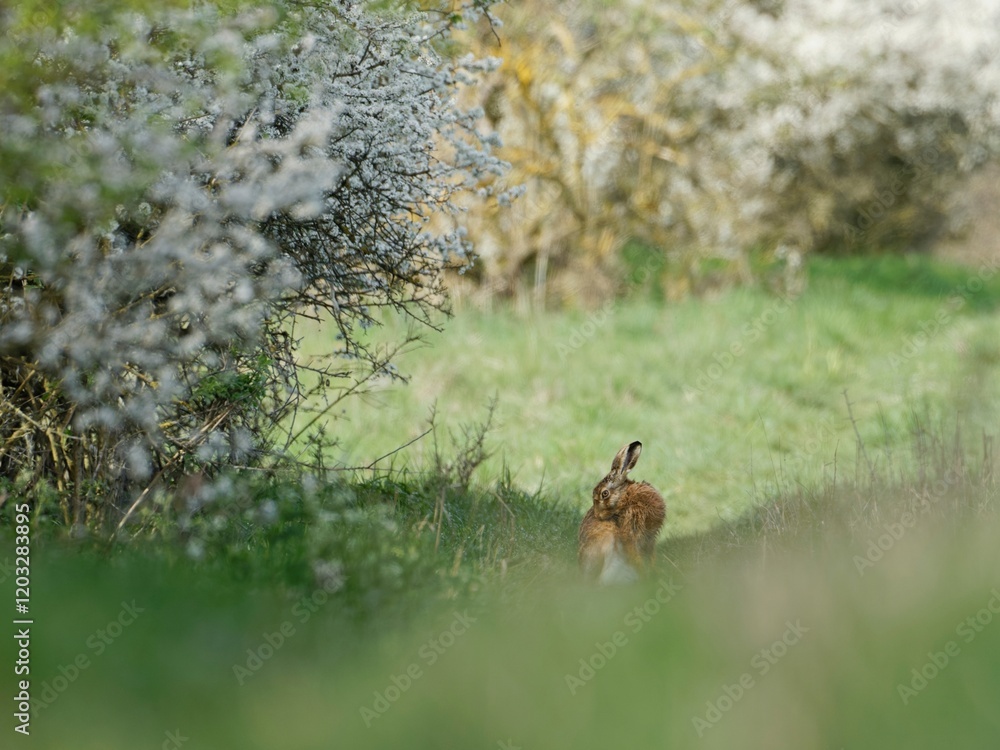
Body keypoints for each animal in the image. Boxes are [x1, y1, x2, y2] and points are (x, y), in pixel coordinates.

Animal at [578, 441, 666, 584]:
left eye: (604, 494)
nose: (598, 515)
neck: (625, 497)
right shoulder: (630, 530)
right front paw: (644, 573)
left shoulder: (650, 538)